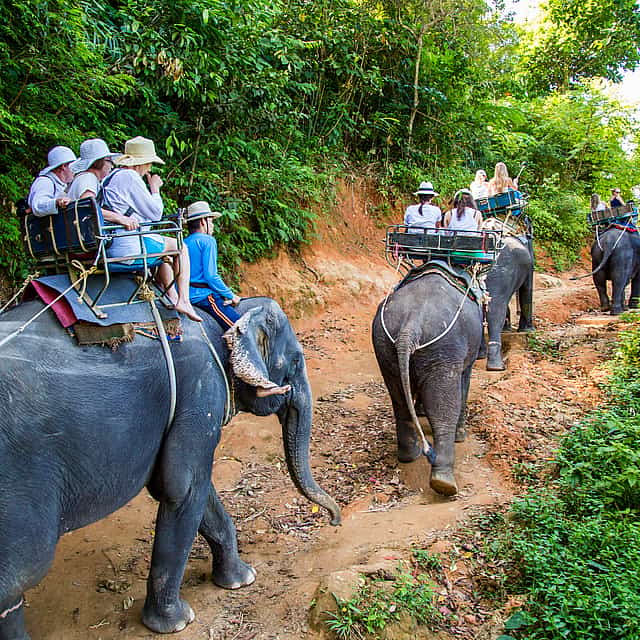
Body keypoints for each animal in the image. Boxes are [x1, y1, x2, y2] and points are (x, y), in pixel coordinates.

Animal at [0, 296, 340, 640]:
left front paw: (241, 579)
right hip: (20, 484)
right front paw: (176, 621)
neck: (220, 316)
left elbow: (191, 488)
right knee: (19, 576)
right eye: (296, 362)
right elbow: (183, 487)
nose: (334, 521)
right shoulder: (200, 389)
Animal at [371, 265, 483, 496]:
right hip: (443, 348)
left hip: (384, 347)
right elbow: (464, 381)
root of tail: (410, 325)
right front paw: (462, 436)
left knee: (399, 401)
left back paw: (410, 456)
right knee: (443, 409)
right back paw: (444, 483)